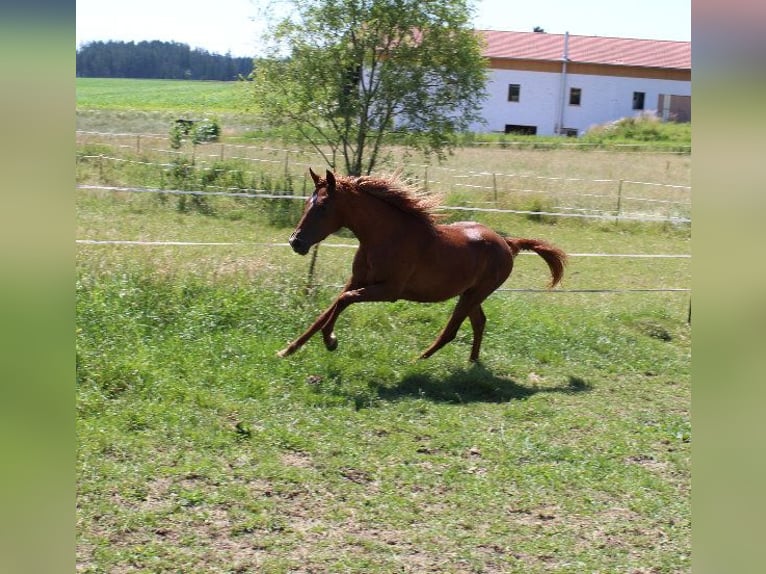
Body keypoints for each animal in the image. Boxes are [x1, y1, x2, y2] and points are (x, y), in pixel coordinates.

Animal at [280, 169, 568, 362]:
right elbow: (327, 310)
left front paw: (330, 341)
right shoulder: (357, 280)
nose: (296, 242)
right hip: (470, 293)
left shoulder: (389, 291)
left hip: (475, 294)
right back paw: (472, 362)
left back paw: (417, 360)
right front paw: (288, 349)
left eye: (323, 206)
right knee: (479, 322)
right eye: (307, 203)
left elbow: (343, 301)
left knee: (452, 329)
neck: (385, 236)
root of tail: (508, 243)